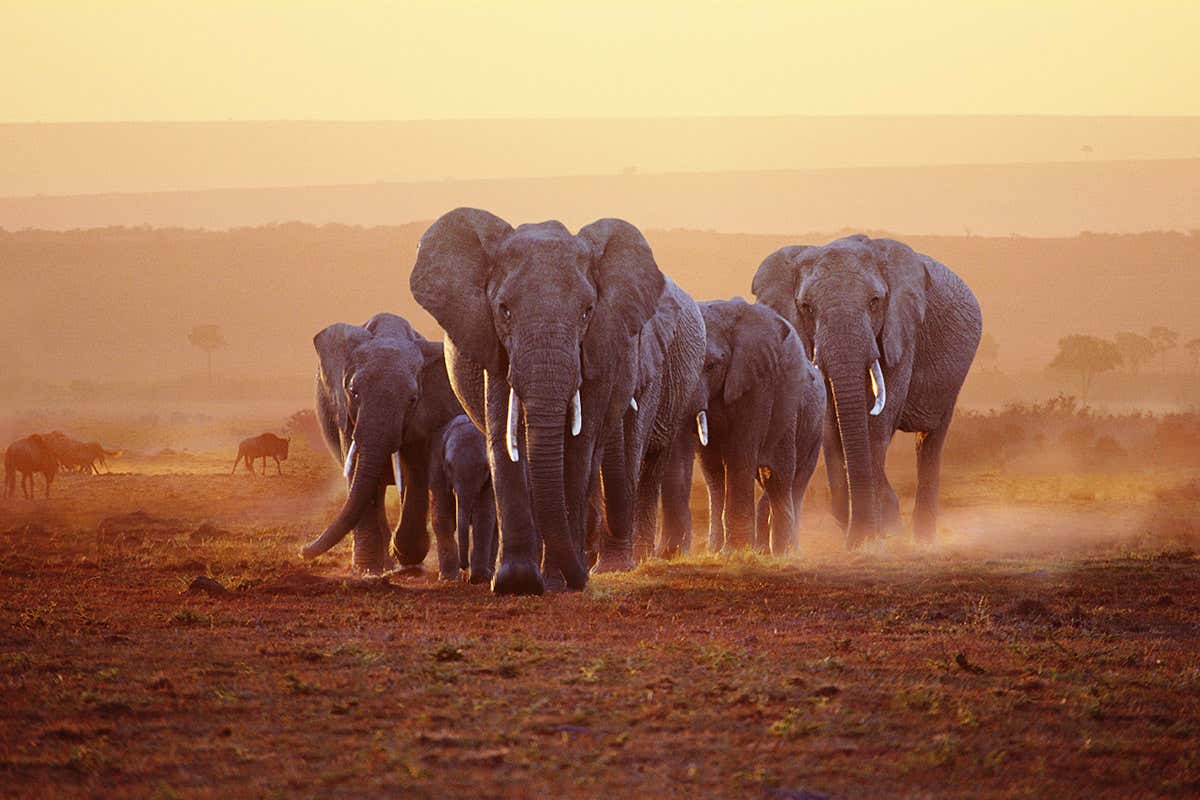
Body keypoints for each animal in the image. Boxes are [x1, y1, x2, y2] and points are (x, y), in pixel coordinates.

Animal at [301, 312, 465, 576]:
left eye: (412, 399)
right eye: (354, 392)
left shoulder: (425, 412)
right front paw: (366, 570)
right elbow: (358, 472)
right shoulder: (347, 415)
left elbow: (416, 472)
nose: (303, 551)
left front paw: (405, 553)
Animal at [429, 415, 498, 584]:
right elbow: (441, 512)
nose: (464, 567)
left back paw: (490, 573)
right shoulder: (436, 464)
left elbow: (484, 515)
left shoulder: (490, 479)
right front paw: (448, 579)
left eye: (485, 468)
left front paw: (479, 578)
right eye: (449, 466)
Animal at [660, 298, 825, 556]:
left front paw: (735, 552)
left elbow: (740, 451)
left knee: (787, 478)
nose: (671, 552)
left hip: (812, 426)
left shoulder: (757, 380)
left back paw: (787, 552)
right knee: (717, 476)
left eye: (711, 365)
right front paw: (676, 554)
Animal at [752, 234, 982, 547]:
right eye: (806, 307)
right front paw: (868, 529)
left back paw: (922, 541)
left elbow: (878, 423)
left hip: (955, 375)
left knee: (932, 438)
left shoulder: (901, 330)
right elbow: (832, 427)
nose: (858, 537)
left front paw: (874, 534)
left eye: (875, 302)